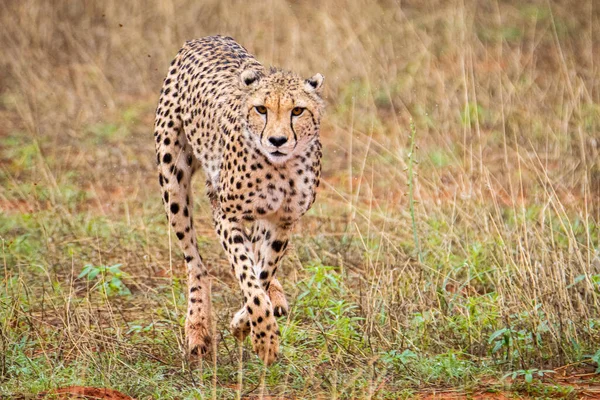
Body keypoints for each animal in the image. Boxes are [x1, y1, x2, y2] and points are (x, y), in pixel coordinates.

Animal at [155, 36, 324, 364]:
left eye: (298, 111)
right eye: (261, 109)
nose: (277, 141)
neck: (279, 168)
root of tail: (207, 37)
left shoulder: (283, 220)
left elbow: (263, 271)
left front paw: (245, 323)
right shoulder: (227, 215)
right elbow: (248, 276)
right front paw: (264, 337)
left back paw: (276, 296)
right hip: (172, 177)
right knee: (195, 262)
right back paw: (197, 328)